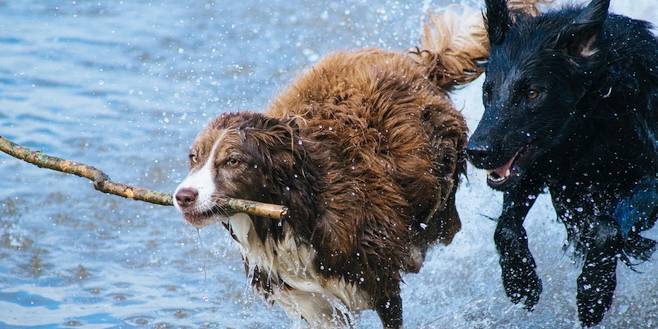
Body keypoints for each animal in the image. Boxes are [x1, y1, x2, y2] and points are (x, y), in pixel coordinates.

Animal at [464, 0, 656, 326]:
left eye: (532, 92)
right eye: (487, 90)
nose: (476, 151)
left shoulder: (650, 179)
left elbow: (607, 229)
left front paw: (593, 292)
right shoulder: (536, 167)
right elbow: (505, 228)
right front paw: (521, 282)